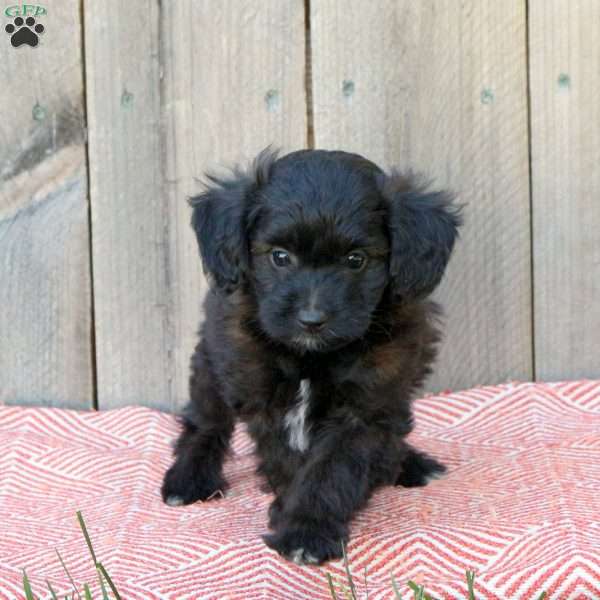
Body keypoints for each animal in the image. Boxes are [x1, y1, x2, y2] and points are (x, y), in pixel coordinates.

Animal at [162, 148, 462, 564]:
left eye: (355, 260)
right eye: (280, 256)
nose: (311, 320)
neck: (311, 357)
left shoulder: (367, 406)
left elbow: (330, 468)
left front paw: (307, 529)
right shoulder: (262, 395)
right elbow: (288, 461)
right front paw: (293, 518)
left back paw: (408, 463)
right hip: (212, 359)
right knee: (206, 421)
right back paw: (189, 476)